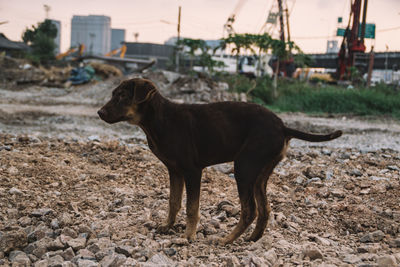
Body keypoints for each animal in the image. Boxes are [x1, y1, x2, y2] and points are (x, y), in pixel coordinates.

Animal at [97, 78, 340, 245]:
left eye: (122, 96)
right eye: (114, 94)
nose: (99, 113)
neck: (158, 120)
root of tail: (282, 126)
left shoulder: (192, 171)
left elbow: (191, 207)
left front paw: (188, 235)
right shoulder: (174, 171)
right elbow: (173, 202)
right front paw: (167, 226)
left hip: (244, 167)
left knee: (250, 210)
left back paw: (227, 240)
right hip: (259, 174)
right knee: (265, 210)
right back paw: (252, 239)